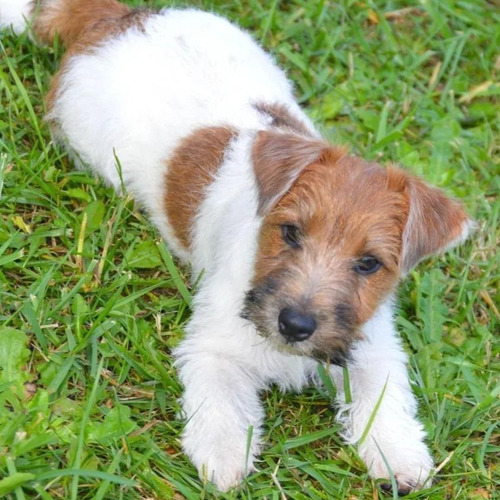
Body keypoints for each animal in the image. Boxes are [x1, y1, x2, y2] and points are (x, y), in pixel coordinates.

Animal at [1, 0, 472, 492]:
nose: (295, 325)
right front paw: (224, 457)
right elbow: (222, 404)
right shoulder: (213, 349)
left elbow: (384, 401)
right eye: (291, 233)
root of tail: (124, 18)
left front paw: (401, 456)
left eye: (368, 263)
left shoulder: (372, 348)